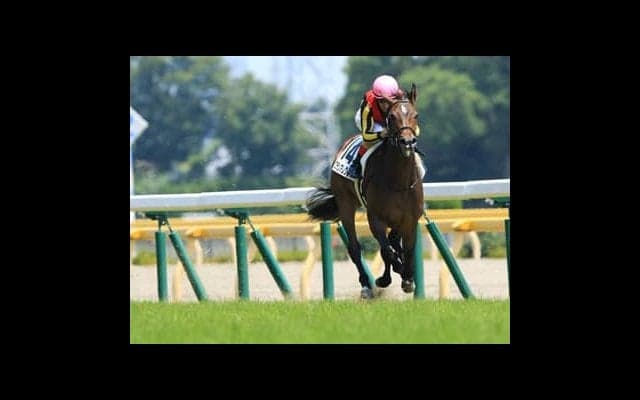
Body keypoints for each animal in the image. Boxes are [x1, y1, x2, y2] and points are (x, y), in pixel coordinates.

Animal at [306, 84, 424, 299]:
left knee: (393, 241)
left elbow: (407, 249)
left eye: (416, 115)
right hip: (346, 204)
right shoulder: (375, 218)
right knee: (355, 247)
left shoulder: (410, 219)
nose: (408, 142)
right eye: (391, 116)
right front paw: (387, 278)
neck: (398, 181)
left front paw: (408, 277)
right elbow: (386, 250)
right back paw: (367, 285)